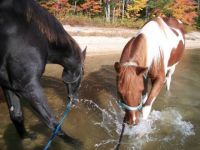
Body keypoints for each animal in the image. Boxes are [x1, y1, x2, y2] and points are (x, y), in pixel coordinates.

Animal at [0, 0, 86, 143]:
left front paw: (26, 138)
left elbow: (16, 115)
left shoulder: (8, 85)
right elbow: (53, 123)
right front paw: (76, 143)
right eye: (82, 73)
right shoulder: (27, 87)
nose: (75, 101)